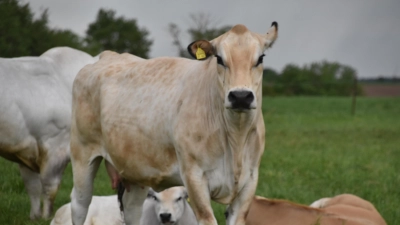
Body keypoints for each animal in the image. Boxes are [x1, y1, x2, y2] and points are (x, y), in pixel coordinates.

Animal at [0, 46, 97, 219]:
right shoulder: (49, 145)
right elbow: (42, 186)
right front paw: (42, 216)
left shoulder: (35, 145)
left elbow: (38, 186)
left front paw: (38, 217)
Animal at [69, 21, 278, 225]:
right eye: (219, 59)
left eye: (260, 58)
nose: (240, 96)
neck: (236, 139)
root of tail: (109, 55)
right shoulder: (194, 178)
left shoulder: (249, 181)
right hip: (82, 156)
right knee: (79, 204)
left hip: (135, 168)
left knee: (131, 210)